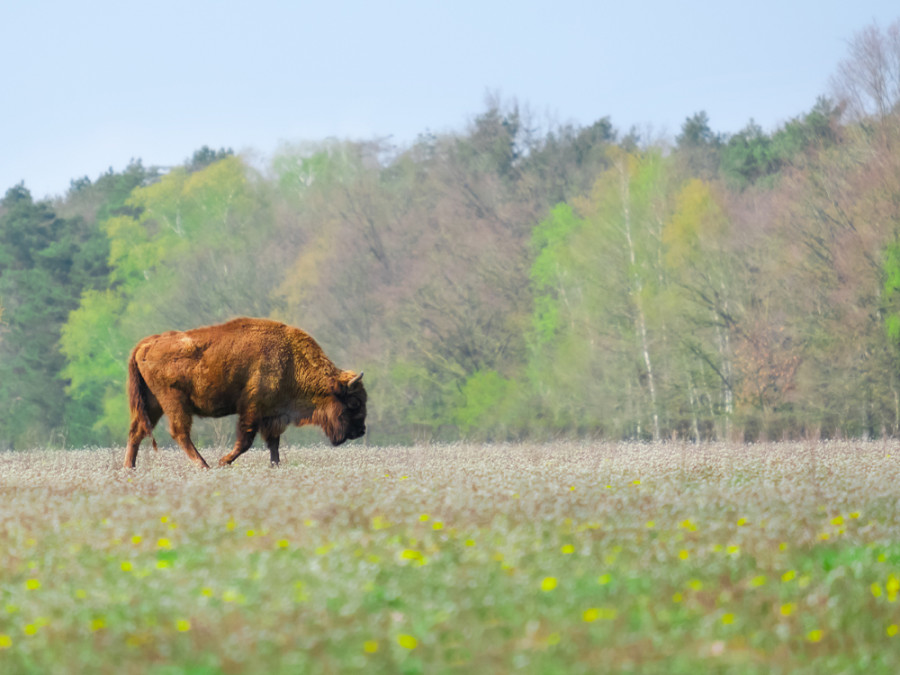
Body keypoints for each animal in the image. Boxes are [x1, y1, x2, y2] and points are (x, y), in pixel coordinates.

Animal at [125, 318, 368, 470]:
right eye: (354, 402)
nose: (360, 431)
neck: (289, 359)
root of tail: (146, 344)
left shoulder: (273, 415)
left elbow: (273, 443)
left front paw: (275, 466)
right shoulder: (252, 409)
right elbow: (246, 440)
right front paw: (223, 461)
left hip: (153, 403)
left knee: (137, 431)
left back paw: (130, 468)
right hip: (173, 401)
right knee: (179, 433)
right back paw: (205, 465)